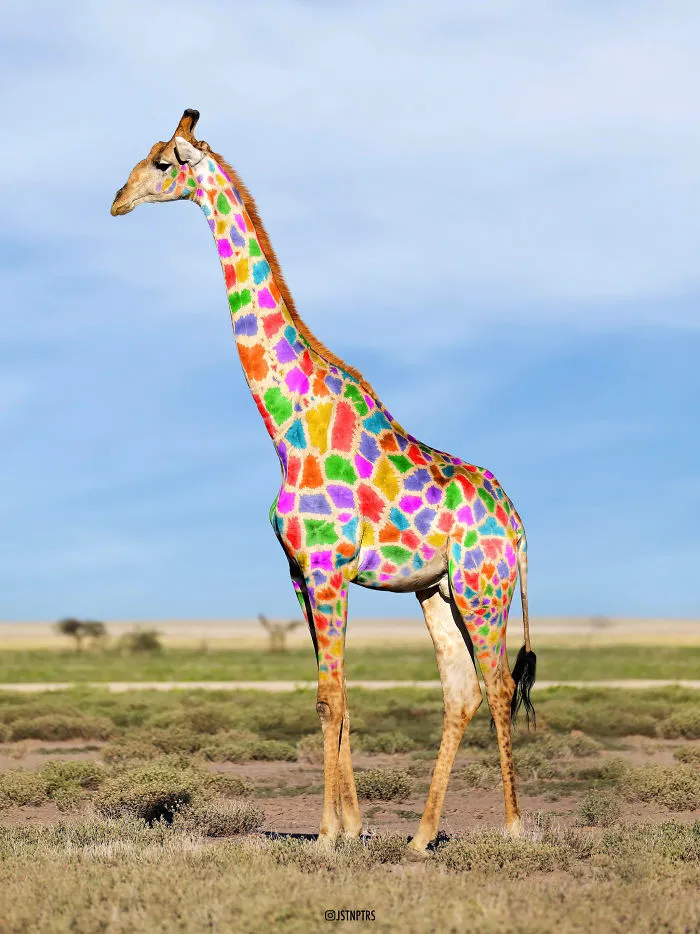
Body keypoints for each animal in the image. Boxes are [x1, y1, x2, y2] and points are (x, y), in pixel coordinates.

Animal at [111, 110, 537, 854]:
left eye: (164, 162)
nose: (117, 200)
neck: (288, 429)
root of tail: (518, 524)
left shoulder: (329, 569)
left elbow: (331, 695)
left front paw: (330, 837)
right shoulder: (299, 573)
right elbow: (327, 696)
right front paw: (350, 829)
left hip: (486, 588)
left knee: (497, 684)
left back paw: (513, 830)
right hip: (436, 590)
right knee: (460, 689)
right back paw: (420, 838)